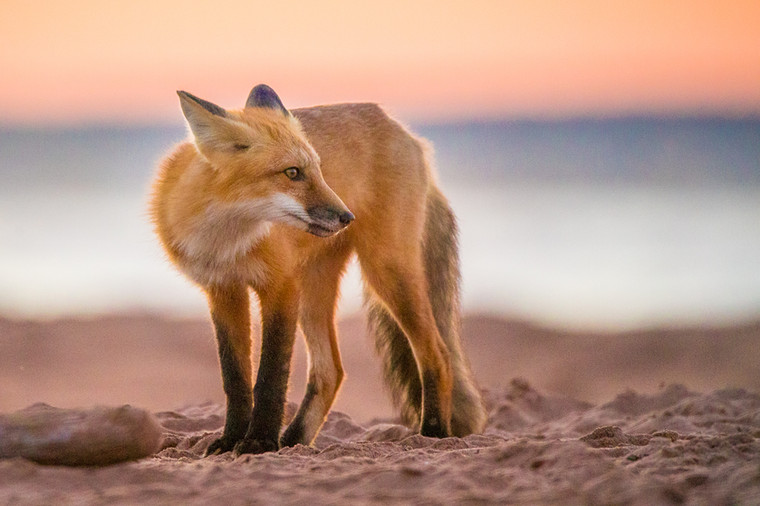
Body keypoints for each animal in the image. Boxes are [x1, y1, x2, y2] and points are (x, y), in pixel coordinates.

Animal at [149, 84, 486, 455]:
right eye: (292, 172)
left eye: (319, 170)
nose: (347, 216)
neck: (227, 240)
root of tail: (408, 134)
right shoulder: (223, 290)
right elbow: (235, 378)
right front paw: (232, 439)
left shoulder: (281, 286)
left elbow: (271, 375)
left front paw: (259, 441)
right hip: (314, 292)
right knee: (331, 372)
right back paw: (295, 440)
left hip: (386, 272)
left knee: (438, 354)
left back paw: (434, 432)